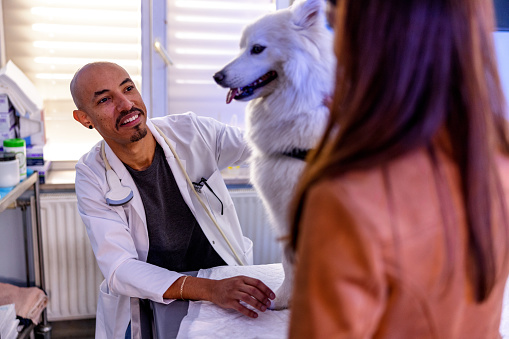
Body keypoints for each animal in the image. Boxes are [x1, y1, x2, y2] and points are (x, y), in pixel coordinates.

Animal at [213, 0, 336, 310]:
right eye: (242, 47)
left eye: (257, 48)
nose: (217, 76)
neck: (303, 106)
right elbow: (290, 262)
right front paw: (284, 300)